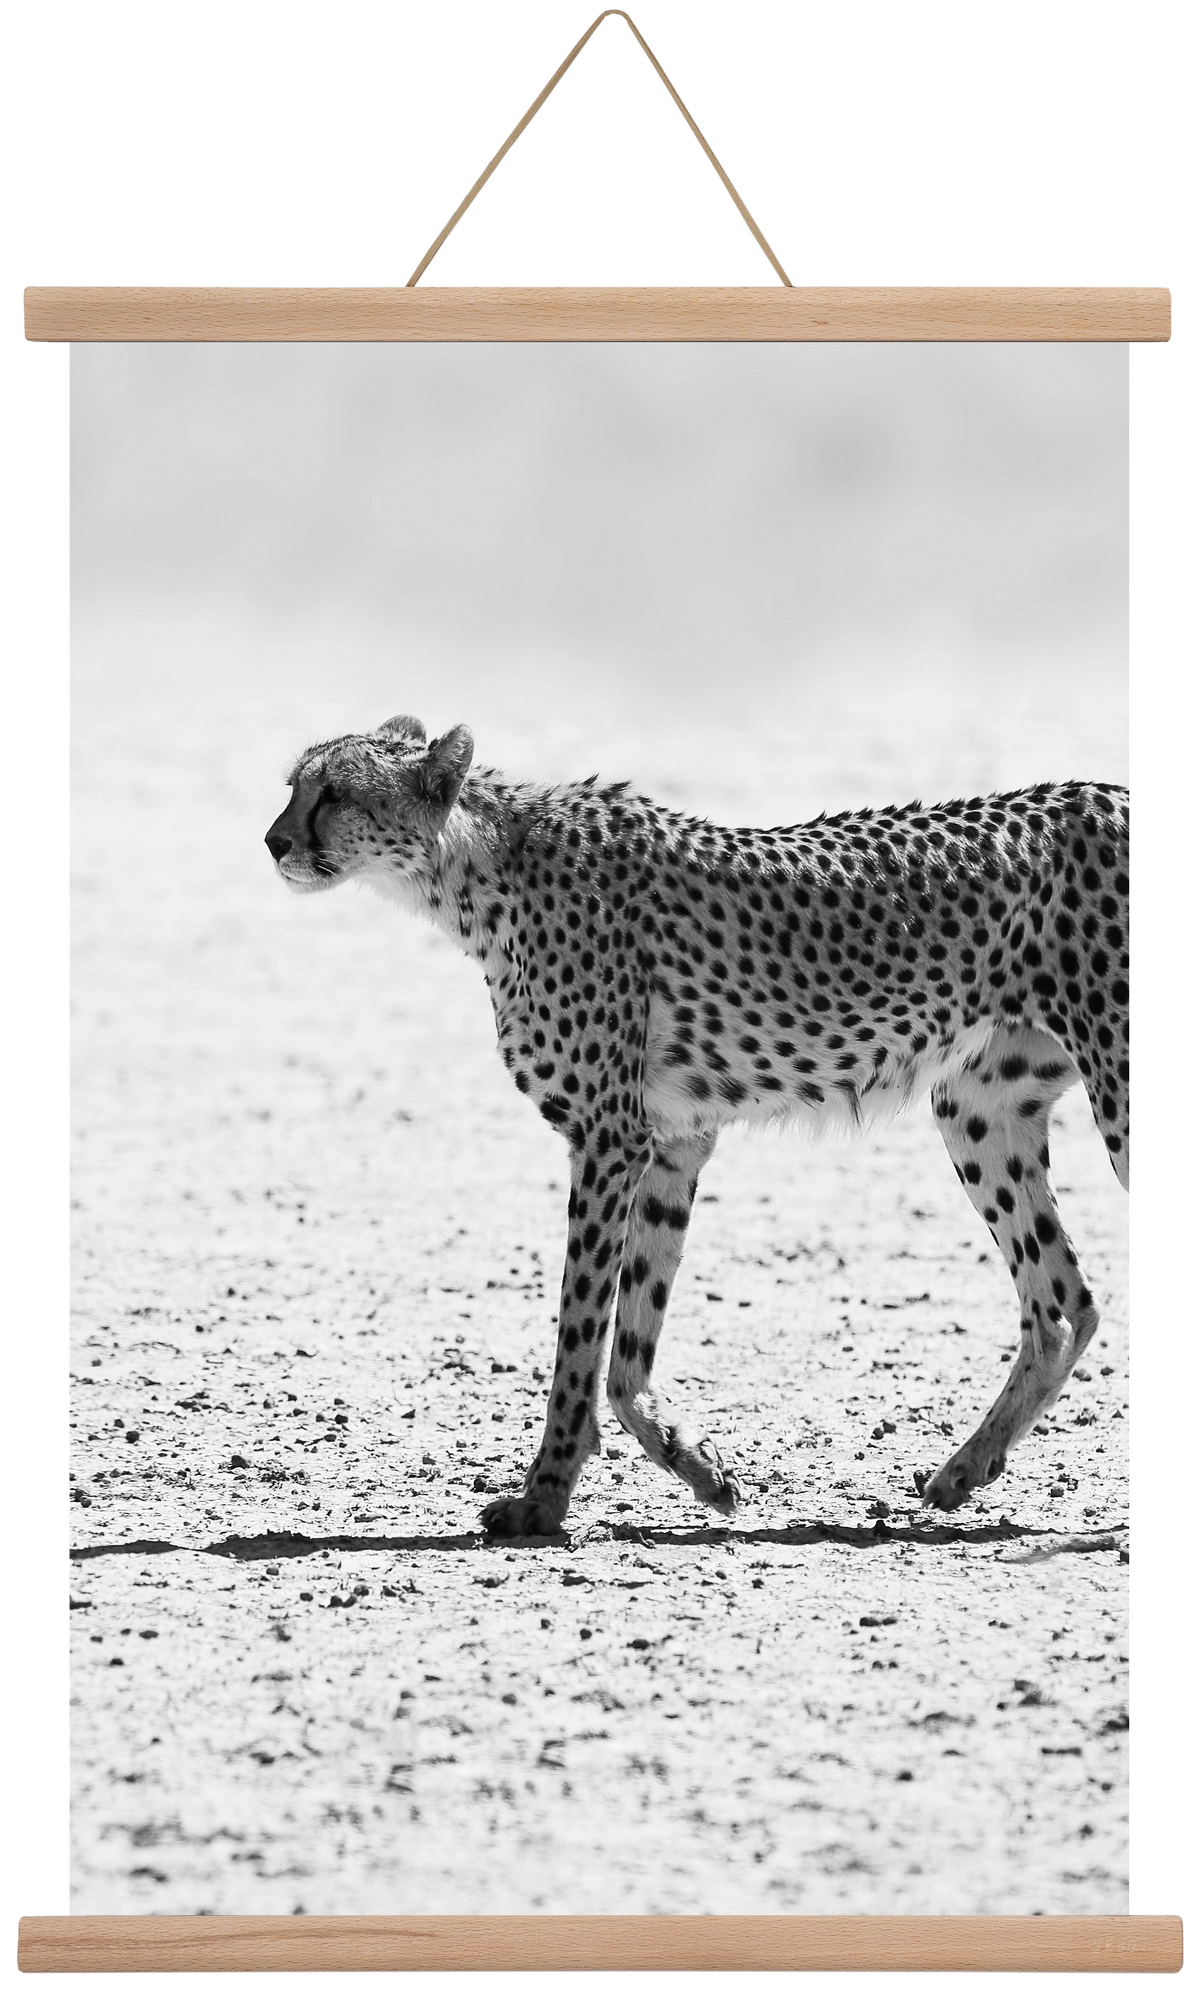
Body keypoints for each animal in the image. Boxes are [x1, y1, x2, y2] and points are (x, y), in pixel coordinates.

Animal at [266, 713, 1129, 1538]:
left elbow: (580, 1335)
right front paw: (701, 1468)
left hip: (1113, 1092)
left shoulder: (608, 1138)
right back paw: (964, 1469)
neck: (476, 868)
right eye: (294, 785)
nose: (274, 841)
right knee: (1062, 1302)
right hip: (978, 1108)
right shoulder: (673, 1142)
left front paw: (543, 1498)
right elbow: (627, 1349)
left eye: (335, 792)